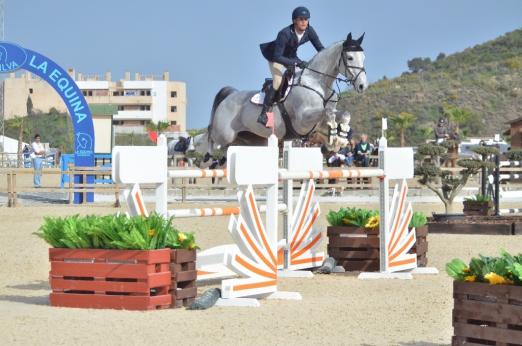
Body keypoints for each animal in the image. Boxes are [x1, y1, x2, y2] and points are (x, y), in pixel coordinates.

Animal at [203, 32, 366, 154]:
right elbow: (328, 112)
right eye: (350, 57)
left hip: (252, 139)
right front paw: (334, 139)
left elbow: (343, 114)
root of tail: (229, 96)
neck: (318, 83)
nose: (362, 85)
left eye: (363, 58)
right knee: (210, 140)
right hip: (224, 135)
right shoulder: (302, 120)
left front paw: (339, 139)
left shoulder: (318, 123)